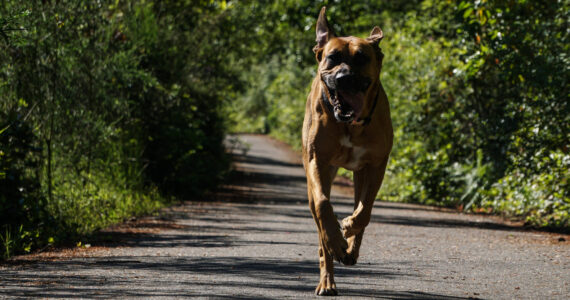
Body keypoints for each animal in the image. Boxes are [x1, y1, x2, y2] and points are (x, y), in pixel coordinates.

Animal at [302, 6, 390, 296]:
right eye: (332, 58)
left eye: (362, 58)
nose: (344, 78)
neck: (351, 124)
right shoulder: (317, 160)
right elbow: (324, 204)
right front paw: (336, 240)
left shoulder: (376, 165)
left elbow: (365, 209)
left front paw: (350, 227)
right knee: (321, 225)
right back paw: (328, 276)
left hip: (360, 174)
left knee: (360, 209)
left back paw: (349, 246)